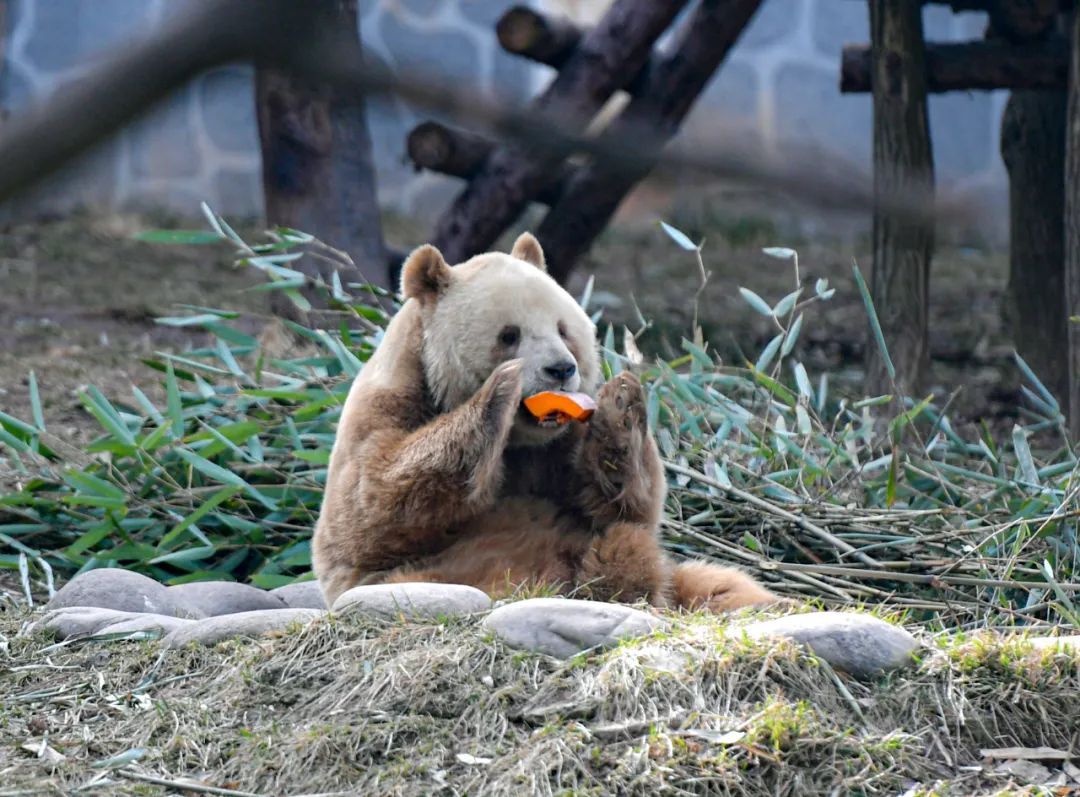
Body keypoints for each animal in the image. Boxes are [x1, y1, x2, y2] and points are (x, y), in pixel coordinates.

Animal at [312, 233, 780, 613]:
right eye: (509, 334)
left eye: (563, 329)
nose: (561, 369)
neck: (521, 442)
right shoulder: (390, 400)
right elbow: (371, 507)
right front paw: (502, 389)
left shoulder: (562, 444)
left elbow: (623, 507)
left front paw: (622, 405)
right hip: (438, 576)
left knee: (717, 583)